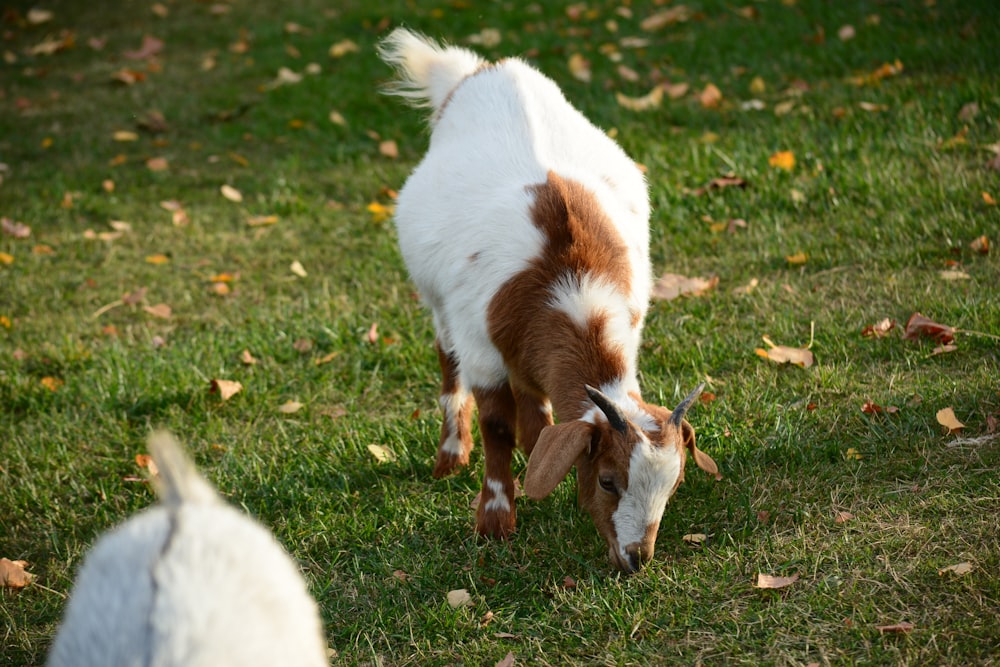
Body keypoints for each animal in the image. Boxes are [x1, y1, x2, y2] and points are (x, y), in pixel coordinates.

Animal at [376, 28, 720, 576]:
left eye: (674, 486)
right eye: (607, 479)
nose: (636, 558)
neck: (569, 283)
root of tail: (484, 70)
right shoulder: (481, 347)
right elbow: (495, 423)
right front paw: (495, 521)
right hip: (436, 299)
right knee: (446, 359)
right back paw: (451, 457)